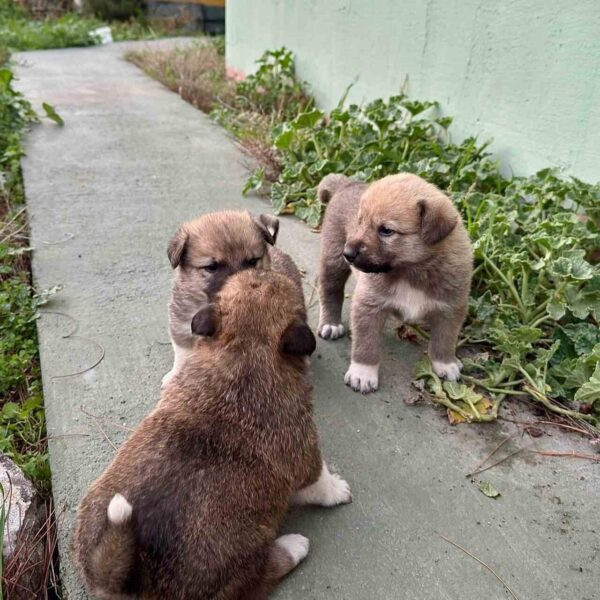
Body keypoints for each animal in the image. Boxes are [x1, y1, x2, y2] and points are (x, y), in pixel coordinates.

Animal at [71, 270, 352, 600]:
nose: (266, 268)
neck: (245, 347)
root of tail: (132, 579)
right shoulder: (306, 454)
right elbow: (320, 482)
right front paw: (338, 490)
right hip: (243, 567)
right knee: (263, 576)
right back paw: (293, 546)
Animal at [318, 172, 474, 394]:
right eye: (359, 222)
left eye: (386, 230)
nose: (347, 253)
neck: (411, 271)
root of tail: (347, 183)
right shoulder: (369, 306)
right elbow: (366, 344)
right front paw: (363, 372)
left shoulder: (451, 309)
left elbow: (444, 340)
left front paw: (445, 363)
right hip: (332, 260)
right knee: (330, 290)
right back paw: (331, 323)